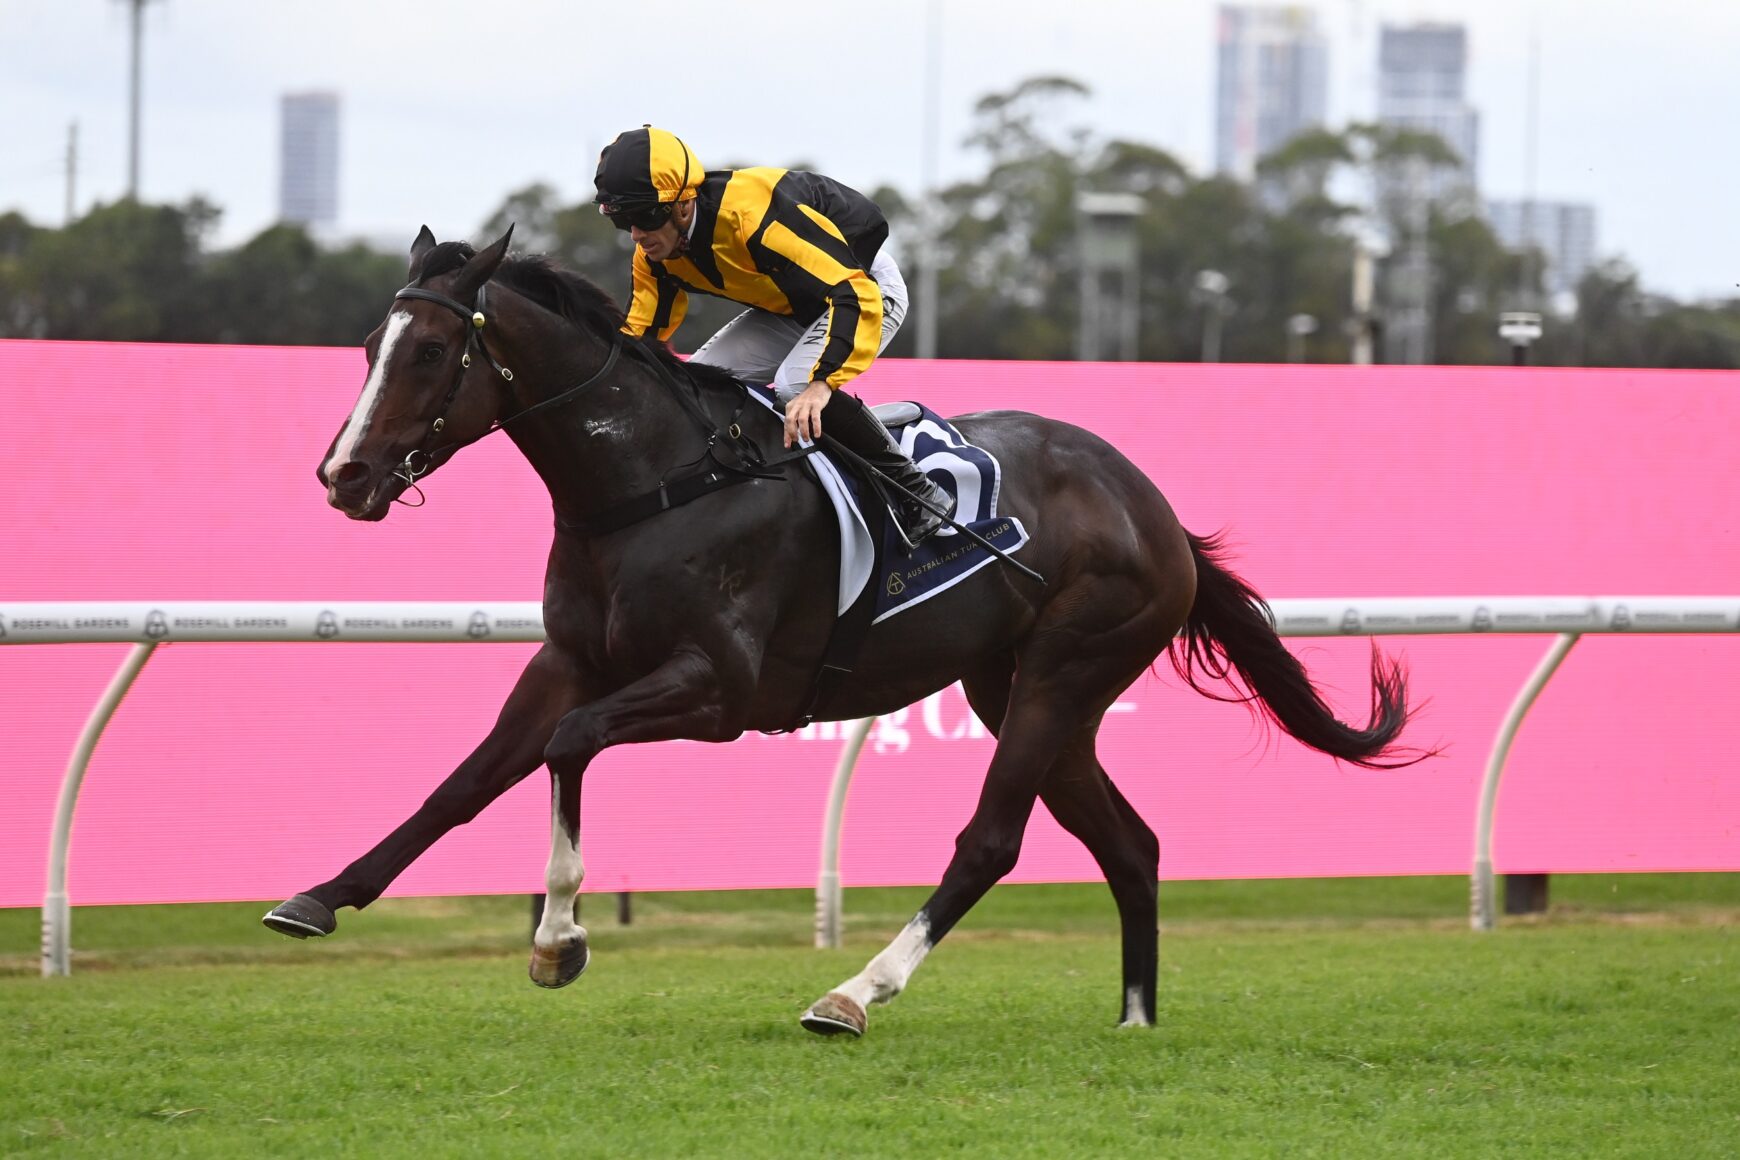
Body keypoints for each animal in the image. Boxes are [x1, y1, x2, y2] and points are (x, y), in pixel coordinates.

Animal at [264, 226, 1419, 1037]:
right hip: (1023, 688)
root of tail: (1154, 508)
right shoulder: (570, 658)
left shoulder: (718, 689)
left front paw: (559, 938)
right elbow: (467, 778)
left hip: (1065, 667)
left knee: (991, 840)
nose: (343, 475)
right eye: (367, 347)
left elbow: (568, 744)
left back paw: (855, 991)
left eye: (429, 351)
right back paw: (1136, 1020)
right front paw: (319, 897)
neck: (651, 482)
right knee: (1130, 843)